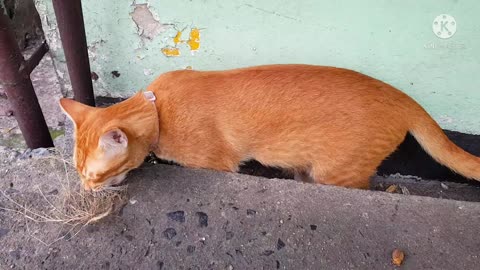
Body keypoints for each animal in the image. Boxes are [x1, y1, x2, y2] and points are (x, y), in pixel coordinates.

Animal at [60, 63, 480, 190]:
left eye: (93, 175)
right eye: (78, 172)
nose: (86, 190)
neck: (158, 107)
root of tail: (401, 96)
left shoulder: (218, 165)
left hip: (337, 174)